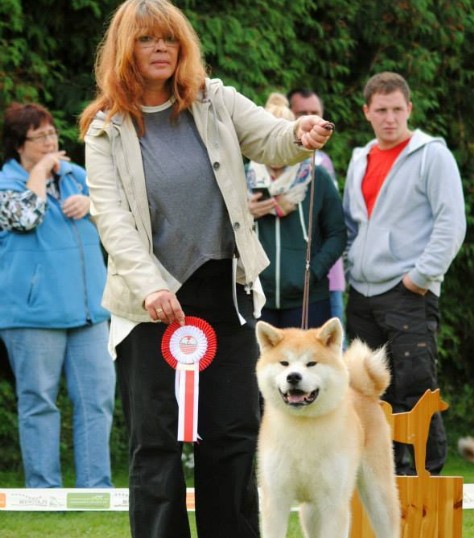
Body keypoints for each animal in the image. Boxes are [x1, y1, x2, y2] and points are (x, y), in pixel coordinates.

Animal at [256, 316, 400, 532]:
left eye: (311, 363)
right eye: (284, 363)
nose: (293, 376)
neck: (303, 425)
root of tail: (363, 393)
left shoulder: (333, 503)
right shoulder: (275, 500)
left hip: (378, 495)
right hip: (311, 510)